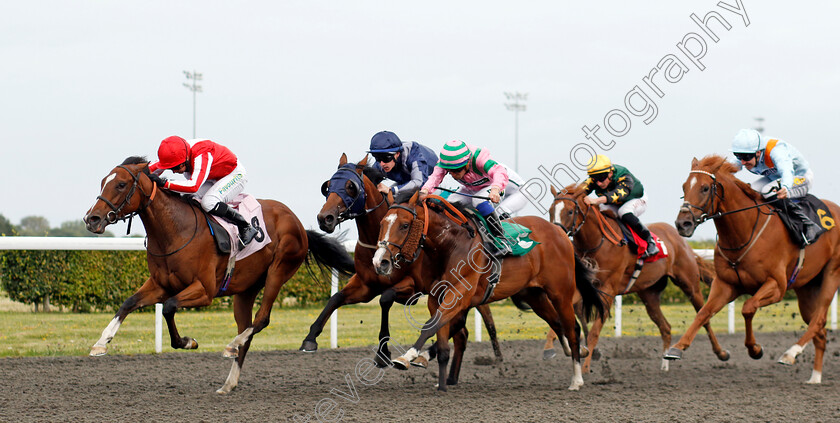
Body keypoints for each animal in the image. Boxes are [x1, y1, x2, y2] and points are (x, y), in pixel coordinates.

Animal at [81, 157, 352, 396]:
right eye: (103, 181)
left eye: (121, 184)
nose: (92, 218)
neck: (175, 230)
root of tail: (298, 224)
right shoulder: (160, 285)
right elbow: (128, 303)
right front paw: (100, 343)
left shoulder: (205, 290)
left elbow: (169, 307)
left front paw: (188, 342)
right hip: (245, 289)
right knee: (247, 329)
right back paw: (229, 381)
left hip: (279, 271)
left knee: (261, 319)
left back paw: (232, 345)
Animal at [300, 155, 498, 380]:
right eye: (328, 186)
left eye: (350, 187)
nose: (325, 218)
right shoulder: (366, 285)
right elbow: (336, 298)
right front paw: (310, 338)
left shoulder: (413, 286)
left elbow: (385, 299)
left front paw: (382, 353)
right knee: (460, 332)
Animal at [372, 192, 604, 390]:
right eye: (382, 223)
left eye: (404, 225)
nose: (380, 261)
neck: (451, 244)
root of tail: (560, 233)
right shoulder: (435, 295)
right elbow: (437, 328)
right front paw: (434, 374)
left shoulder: (459, 294)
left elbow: (432, 326)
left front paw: (406, 357)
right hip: (533, 294)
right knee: (556, 322)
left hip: (560, 292)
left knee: (572, 327)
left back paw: (576, 378)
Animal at [544, 184, 728, 372]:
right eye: (551, 210)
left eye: (570, 211)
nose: (557, 234)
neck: (596, 242)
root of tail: (682, 241)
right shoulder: (585, 287)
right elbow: (563, 317)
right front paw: (550, 349)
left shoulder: (608, 290)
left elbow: (594, 331)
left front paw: (585, 368)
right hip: (649, 294)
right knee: (666, 327)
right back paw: (665, 364)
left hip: (690, 285)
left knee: (704, 317)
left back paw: (721, 353)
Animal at [664, 156, 840, 384]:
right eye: (684, 186)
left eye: (704, 188)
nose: (682, 223)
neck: (743, 233)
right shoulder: (725, 284)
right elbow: (703, 313)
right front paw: (677, 348)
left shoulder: (777, 286)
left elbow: (747, 308)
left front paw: (755, 349)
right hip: (807, 287)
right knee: (820, 329)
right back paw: (815, 377)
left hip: (831, 274)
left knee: (818, 320)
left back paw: (791, 353)